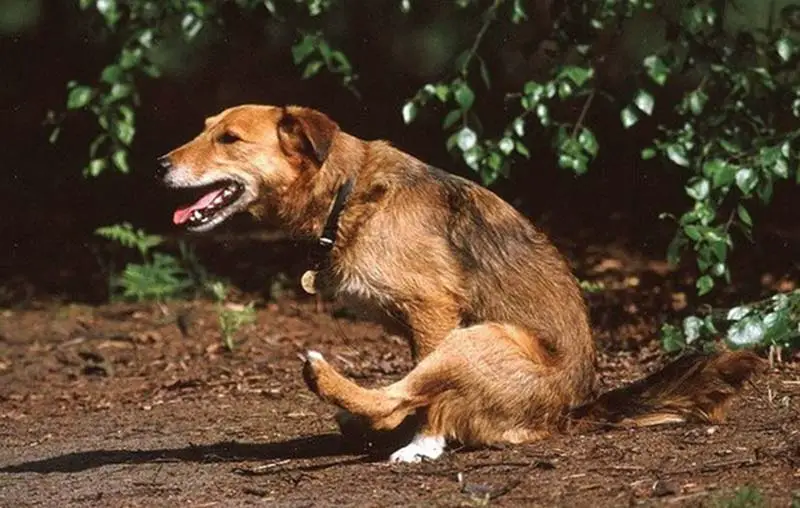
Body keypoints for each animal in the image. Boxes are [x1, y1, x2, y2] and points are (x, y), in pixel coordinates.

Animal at [161, 105, 764, 462]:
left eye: (229, 139)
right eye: (204, 128)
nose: (159, 163)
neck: (347, 192)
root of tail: (572, 413)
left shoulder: (433, 311)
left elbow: (419, 402)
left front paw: (423, 444)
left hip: (479, 338)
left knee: (398, 397)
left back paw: (336, 388)